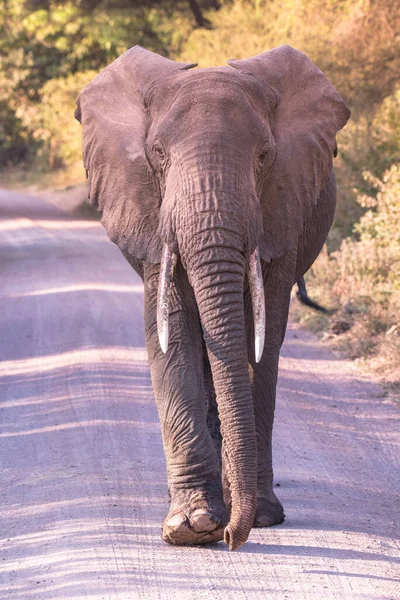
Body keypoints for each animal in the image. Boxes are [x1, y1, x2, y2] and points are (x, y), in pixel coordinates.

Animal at [76, 44, 350, 552]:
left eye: (264, 156)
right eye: (157, 154)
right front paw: (192, 526)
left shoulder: (281, 213)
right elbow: (171, 331)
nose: (231, 540)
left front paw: (259, 517)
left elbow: (262, 337)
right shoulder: (150, 218)